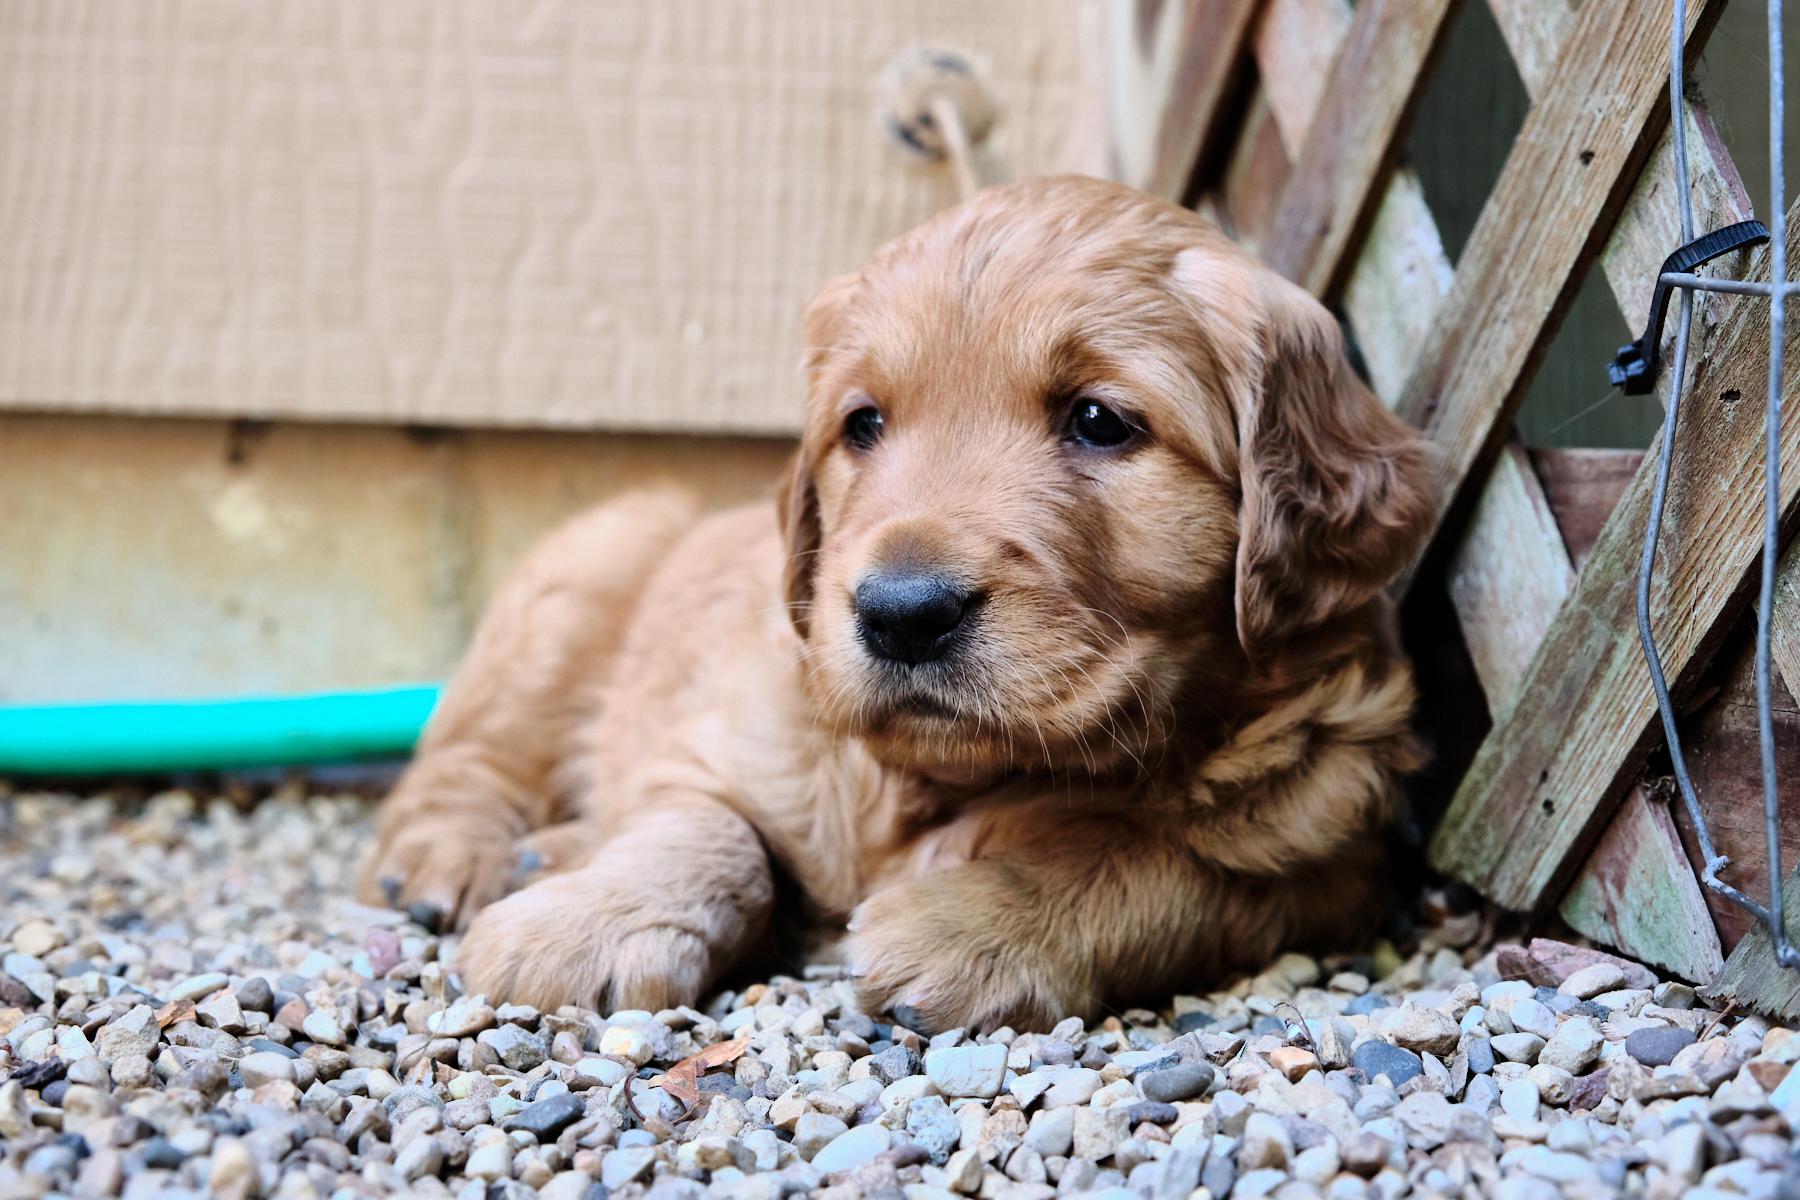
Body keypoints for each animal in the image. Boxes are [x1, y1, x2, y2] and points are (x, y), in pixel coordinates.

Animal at [361, 173, 1432, 1029]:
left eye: (1099, 421)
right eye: (863, 424)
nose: (902, 611)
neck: (934, 782)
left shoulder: (1319, 851)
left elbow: (1155, 862)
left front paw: (975, 927)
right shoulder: (719, 738)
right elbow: (703, 831)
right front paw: (586, 925)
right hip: (583, 574)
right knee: (463, 761)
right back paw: (455, 856)